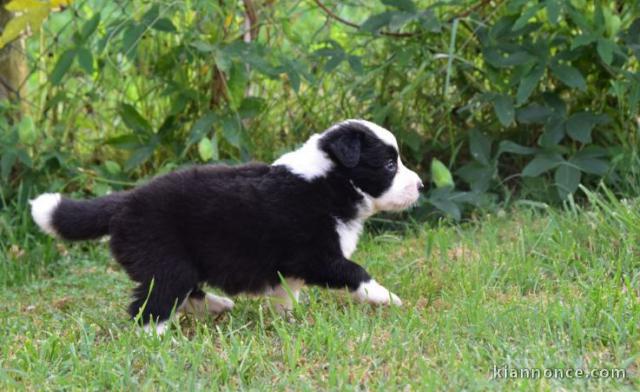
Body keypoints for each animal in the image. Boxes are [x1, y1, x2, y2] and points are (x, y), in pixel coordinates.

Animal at [30, 119, 422, 334]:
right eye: (389, 164)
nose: (420, 186)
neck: (330, 180)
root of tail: (125, 201)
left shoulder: (293, 266)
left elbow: (286, 294)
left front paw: (288, 320)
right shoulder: (317, 255)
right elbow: (355, 271)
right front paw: (387, 297)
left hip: (172, 264)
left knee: (183, 292)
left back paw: (216, 305)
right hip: (166, 261)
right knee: (150, 308)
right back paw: (158, 341)